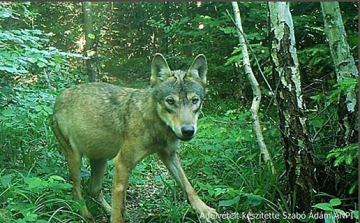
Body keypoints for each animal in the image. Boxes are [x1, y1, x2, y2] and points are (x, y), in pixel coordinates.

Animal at [52, 53, 218, 222]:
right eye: (170, 101)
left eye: (195, 100)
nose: (188, 130)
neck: (155, 123)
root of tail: (59, 98)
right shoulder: (122, 163)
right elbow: (119, 207)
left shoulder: (169, 155)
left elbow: (188, 185)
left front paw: (204, 210)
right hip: (76, 159)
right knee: (76, 190)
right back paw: (86, 215)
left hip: (100, 160)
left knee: (93, 189)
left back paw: (106, 210)